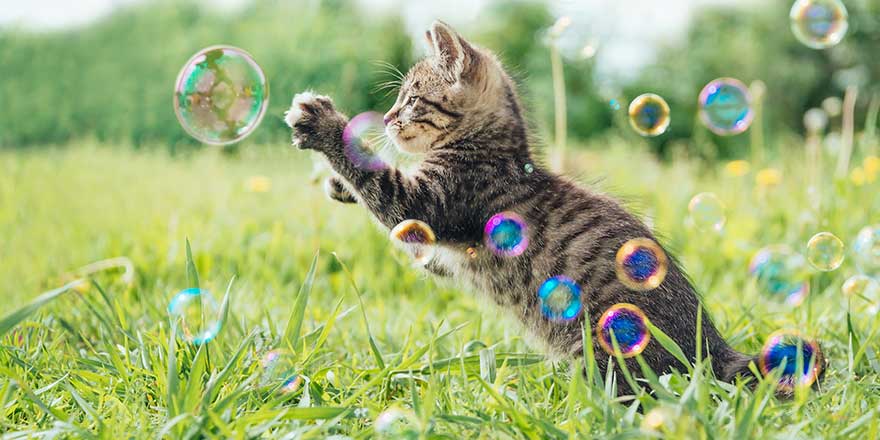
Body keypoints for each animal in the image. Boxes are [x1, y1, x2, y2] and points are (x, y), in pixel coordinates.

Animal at [288, 20, 756, 394]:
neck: (492, 150)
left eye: (413, 100)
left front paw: (325, 125)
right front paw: (340, 184)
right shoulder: (440, 252)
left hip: (610, 343)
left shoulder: (429, 206)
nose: (386, 119)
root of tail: (714, 348)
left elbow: (384, 186)